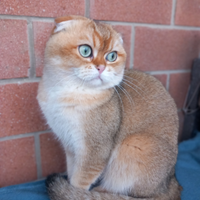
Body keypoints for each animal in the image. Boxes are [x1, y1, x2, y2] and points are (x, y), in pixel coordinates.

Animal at [37, 14, 181, 199]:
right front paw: (68, 186)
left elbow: (79, 181)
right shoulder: (70, 145)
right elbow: (71, 171)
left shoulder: (95, 151)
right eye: (85, 51)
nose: (101, 68)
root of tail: (171, 183)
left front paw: (73, 192)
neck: (69, 92)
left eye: (111, 56)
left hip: (135, 145)